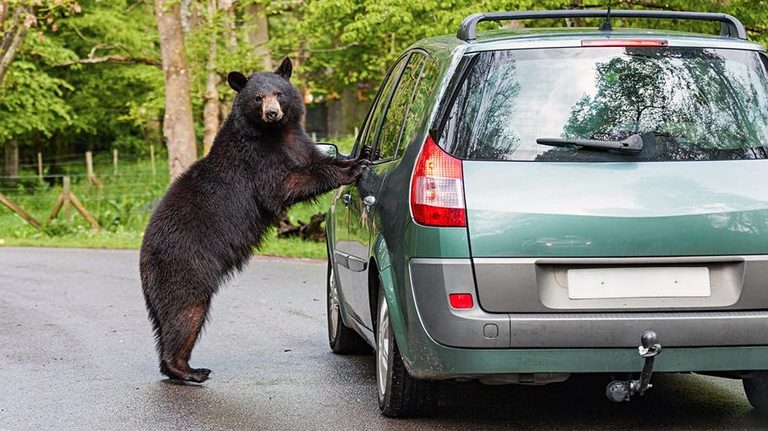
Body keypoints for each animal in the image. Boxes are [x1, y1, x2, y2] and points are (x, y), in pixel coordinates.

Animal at [139, 57, 369, 383]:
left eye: (279, 93)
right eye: (258, 97)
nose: (272, 113)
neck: (275, 133)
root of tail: (144, 255)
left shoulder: (298, 142)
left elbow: (314, 159)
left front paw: (352, 159)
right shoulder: (257, 159)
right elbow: (284, 184)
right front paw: (352, 168)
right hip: (184, 265)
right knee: (185, 312)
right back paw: (188, 369)